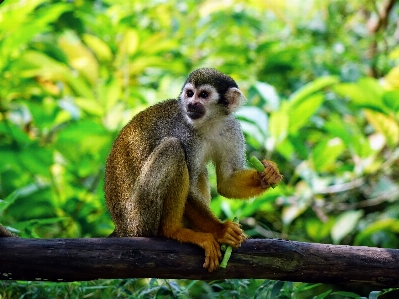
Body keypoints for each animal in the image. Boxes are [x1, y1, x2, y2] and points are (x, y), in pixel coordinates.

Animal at [104, 68, 284, 272]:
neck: (209, 123)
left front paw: (267, 174)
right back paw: (174, 231)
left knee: (200, 171)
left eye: (203, 95)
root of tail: (122, 228)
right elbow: (189, 190)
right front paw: (221, 230)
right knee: (173, 148)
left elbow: (227, 182)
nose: (191, 103)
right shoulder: (185, 132)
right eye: (190, 93)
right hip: (139, 218)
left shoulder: (231, 129)